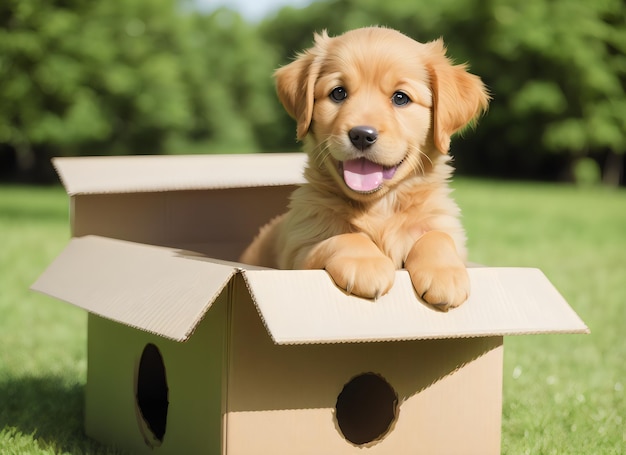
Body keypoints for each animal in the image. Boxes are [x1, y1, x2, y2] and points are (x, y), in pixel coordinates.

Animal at [239, 25, 488, 310]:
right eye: (338, 93)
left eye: (400, 98)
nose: (361, 135)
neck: (380, 206)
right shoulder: (299, 251)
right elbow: (343, 237)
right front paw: (367, 264)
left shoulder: (447, 228)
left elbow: (437, 236)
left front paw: (445, 274)